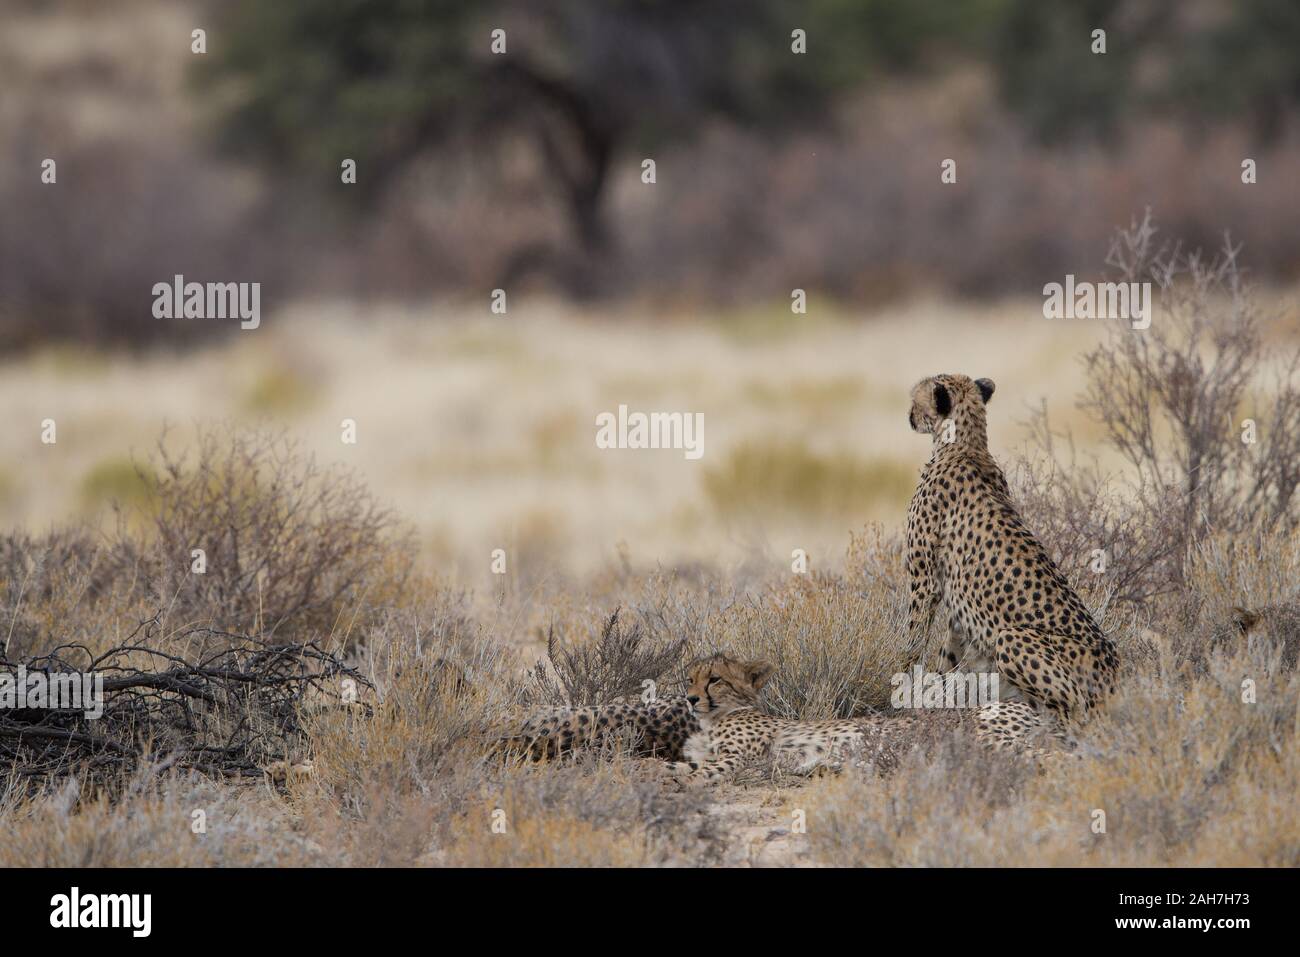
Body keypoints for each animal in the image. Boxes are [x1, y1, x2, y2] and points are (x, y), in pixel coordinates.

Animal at [904, 374, 1118, 717]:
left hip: (1010, 639)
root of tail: (1114, 670)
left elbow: (911, 638)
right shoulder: (958, 603)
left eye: (916, 399)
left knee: (1076, 707)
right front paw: (936, 694)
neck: (966, 445)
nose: (909, 415)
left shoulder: (925, 581)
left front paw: (902, 679)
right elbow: (948, 654)